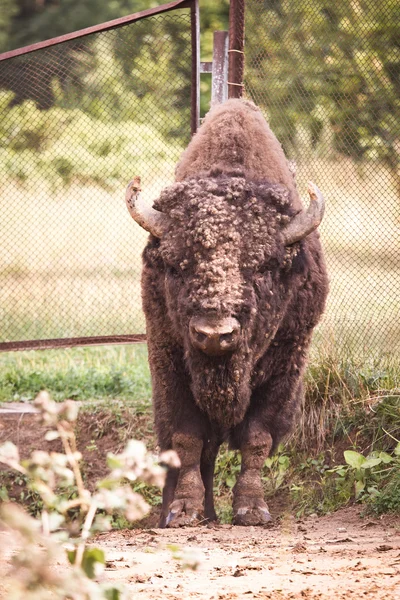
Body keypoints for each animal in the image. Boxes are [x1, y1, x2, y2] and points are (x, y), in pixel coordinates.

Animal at [125, 98, 328, 524]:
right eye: (175, 266)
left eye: (263, 266)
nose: (215, 334)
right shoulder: (170, 361)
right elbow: (186, 438)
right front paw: (184, 509)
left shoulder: (286, 366)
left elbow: (256, 439)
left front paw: (252, 509)